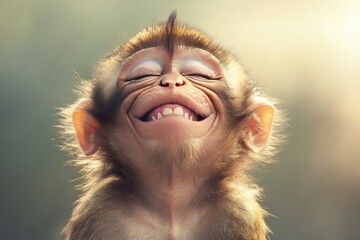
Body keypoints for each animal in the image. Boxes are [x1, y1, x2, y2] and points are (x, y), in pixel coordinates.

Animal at [59, 12, 284, 240]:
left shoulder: (238, 210)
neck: (171, 209)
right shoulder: (99, 210)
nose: (172, 82)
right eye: (142, 75)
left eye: (199, 75)